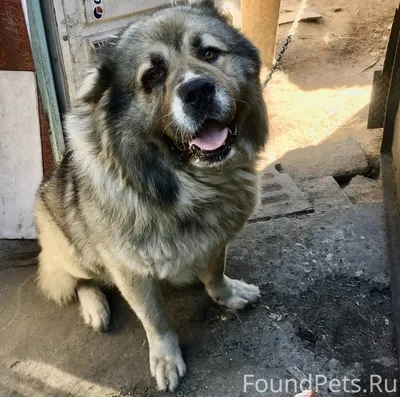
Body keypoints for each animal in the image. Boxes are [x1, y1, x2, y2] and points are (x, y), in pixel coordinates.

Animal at [34, 0, 266, 390]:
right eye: (153, 76)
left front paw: (227, 294)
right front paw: (166, 358)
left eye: (209, 53)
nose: (198, 91)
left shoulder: (216, 240)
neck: (186, 187)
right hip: (70, 242)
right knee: (80, 279)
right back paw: (95, 305)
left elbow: (215, 273)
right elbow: (155, 319)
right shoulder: (130, 270)